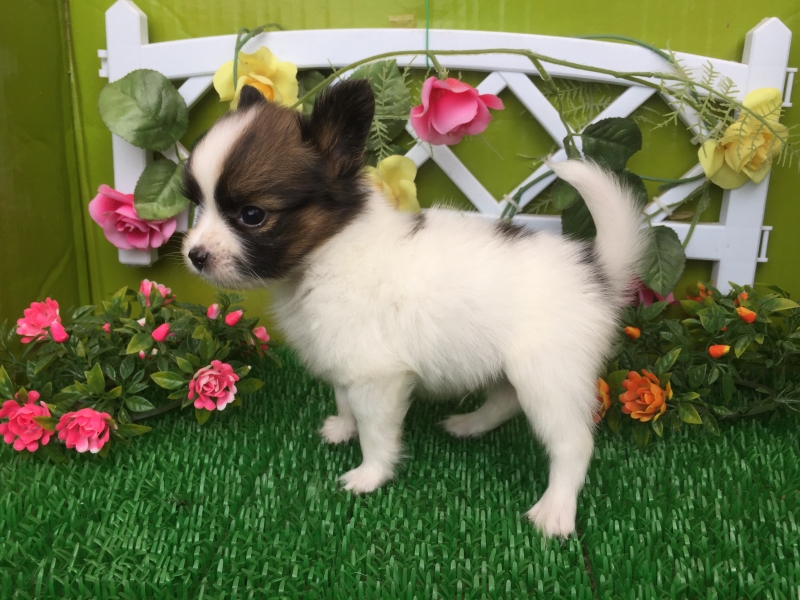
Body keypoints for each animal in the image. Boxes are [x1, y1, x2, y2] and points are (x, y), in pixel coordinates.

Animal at [182, 79, 648, 537]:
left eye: (252, 215)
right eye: (198, 204)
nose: (194, 256)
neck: (328, 250)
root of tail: (598, 272)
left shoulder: (378, 377)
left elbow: (375, 432)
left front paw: (370, 475)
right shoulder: (346, 357)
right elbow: (344, 399)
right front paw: (343, 428)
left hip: (548, 375)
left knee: (573, 443)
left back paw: (555, 510)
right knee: (506, 399)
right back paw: (468, 425)